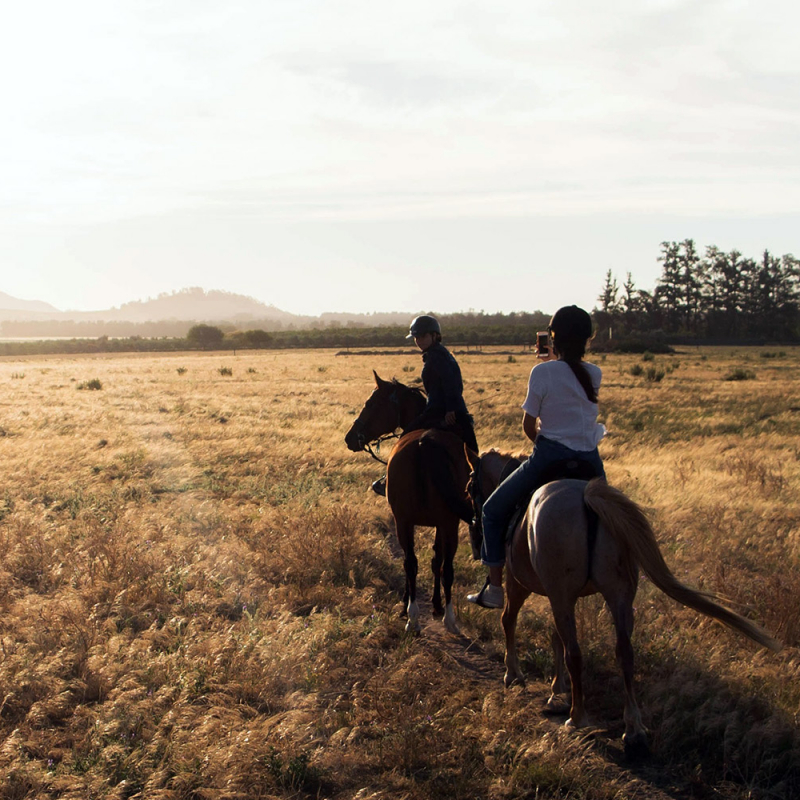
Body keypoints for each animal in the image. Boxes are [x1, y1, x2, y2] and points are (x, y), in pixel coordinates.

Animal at [346, 372, 476, 636]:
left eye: (370, 403)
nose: (350, 438)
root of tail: (424, 443)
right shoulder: (442, 522)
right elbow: (437, 560)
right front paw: (434, 606)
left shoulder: (417, 521)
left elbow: (423, 560)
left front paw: (411, 606)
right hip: (446, 522)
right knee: (444, 566)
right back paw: (446, 618)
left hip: (408, 520)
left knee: (411, 563)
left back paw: (413, 617)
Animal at [468, 450, 780, 756]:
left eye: (470, 487)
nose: (474, 536)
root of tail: (586, 496)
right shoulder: (564, 597)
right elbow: (556, 637)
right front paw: (558, 691)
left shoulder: (525, 584)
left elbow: (511, 621)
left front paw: (514, 675)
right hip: (618, 595)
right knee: (624, 652)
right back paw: (633, 730)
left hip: (562, 593)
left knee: (575, 652)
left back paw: (577, 717)